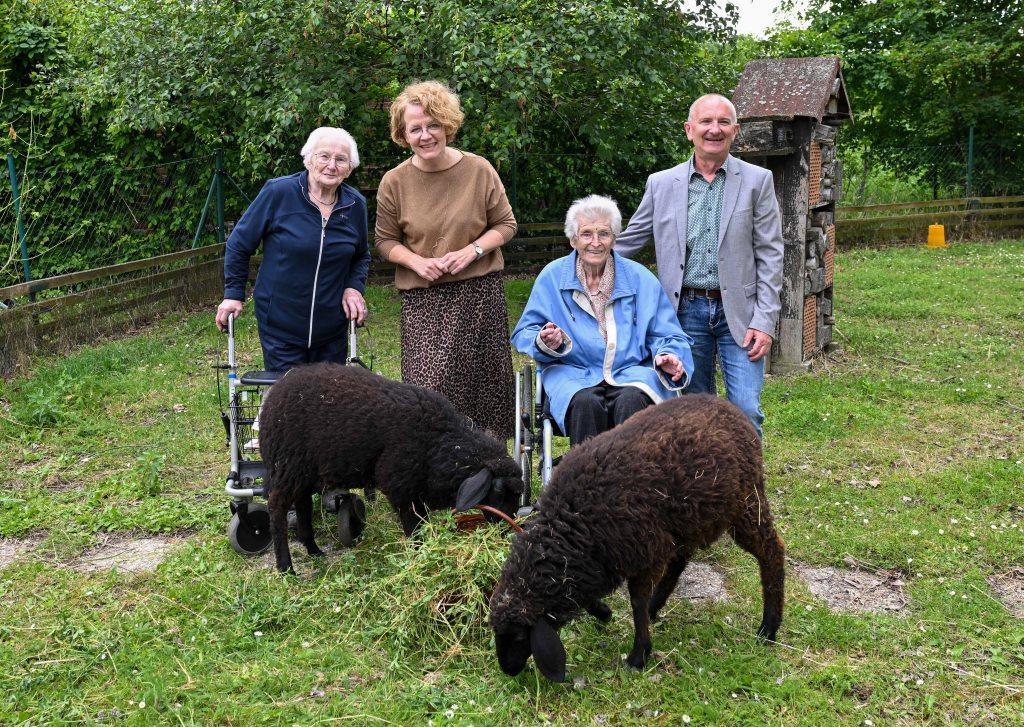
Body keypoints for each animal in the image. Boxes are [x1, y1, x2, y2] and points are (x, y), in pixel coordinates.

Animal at [256, 364, 528, 573]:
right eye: (500, 491)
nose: (509, 529)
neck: (440, 440)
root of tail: (274, 394)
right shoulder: (401, 488)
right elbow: (413, 530)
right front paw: (421, 558)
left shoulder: (418, 493)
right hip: (287, 464)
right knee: (277, 507)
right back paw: (286, 567)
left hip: (304, 471)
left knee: (302, 503)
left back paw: (314, 550)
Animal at [487, 393, 782, 683]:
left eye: (518, 635)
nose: (507, 670)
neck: (573, 524)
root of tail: (728, 407)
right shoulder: (606, 558)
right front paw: (604, 612)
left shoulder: (645, 552)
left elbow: (636, 604)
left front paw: (639, 655)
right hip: (687, 520)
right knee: (680, 561)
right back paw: (657, 605)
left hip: (745, 503)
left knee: (772, 550)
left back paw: (769, 627)